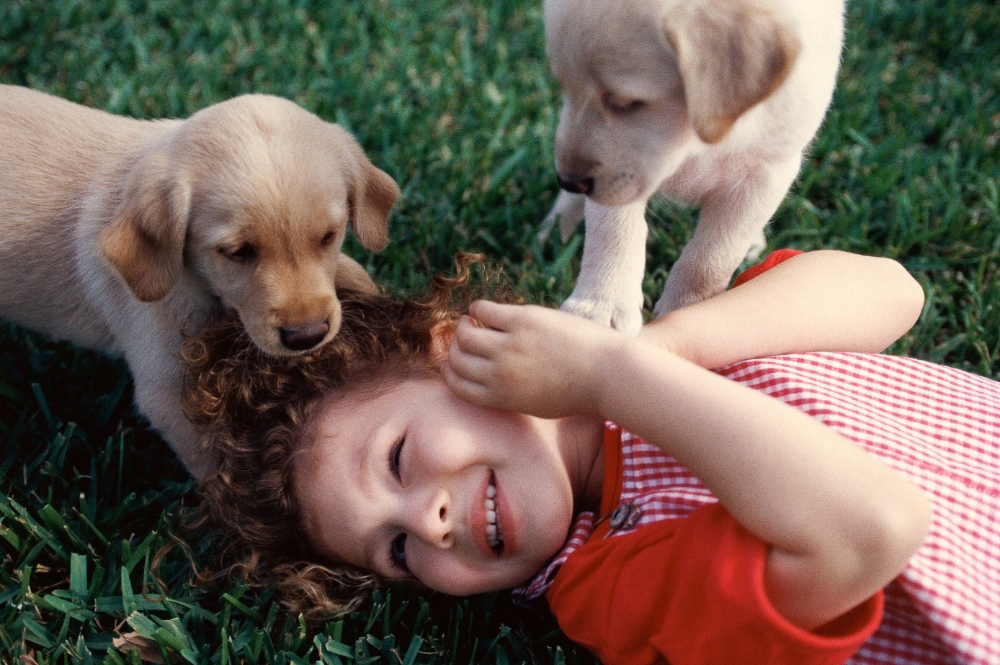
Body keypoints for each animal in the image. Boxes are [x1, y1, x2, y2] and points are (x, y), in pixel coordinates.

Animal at [548, 0, 844, 332]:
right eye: (565, 88)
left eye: (625, 103)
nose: (568, 180)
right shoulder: (621, 174)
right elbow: (614, 232)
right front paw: (602, 307)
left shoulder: (766, 173)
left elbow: (712, 257)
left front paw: (688, 310)